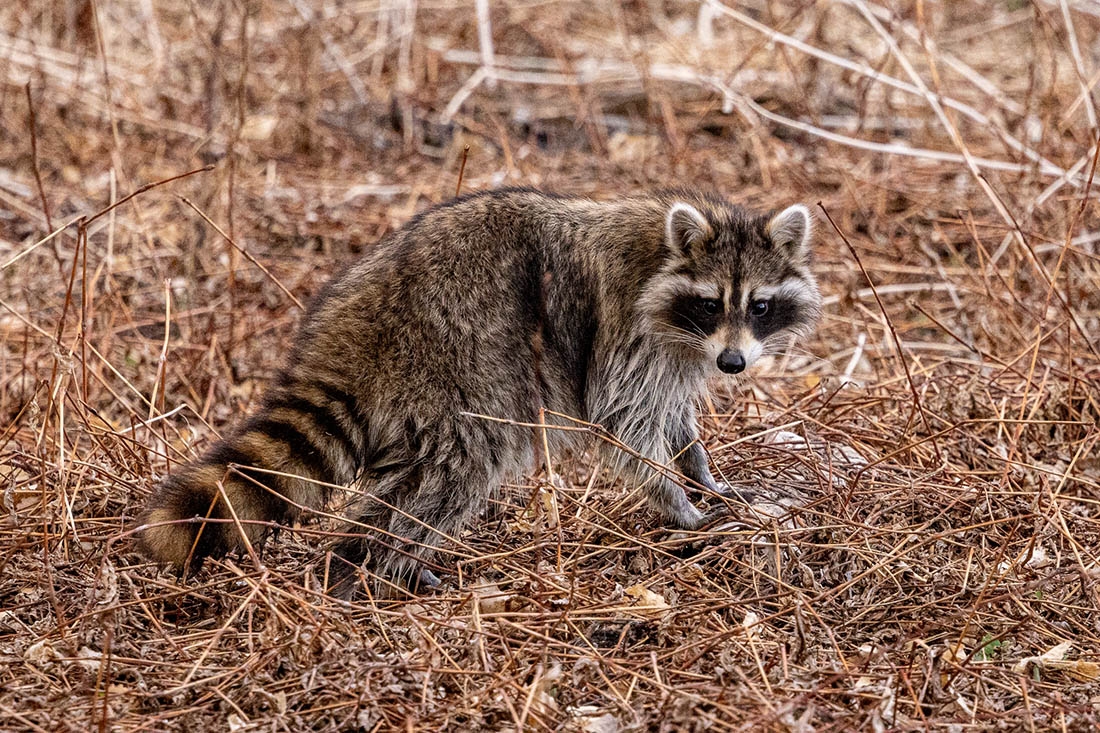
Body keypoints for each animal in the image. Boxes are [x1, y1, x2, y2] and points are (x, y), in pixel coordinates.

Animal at [137, 188, 820, 594]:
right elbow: (625, 425)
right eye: (709, 304)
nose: (733, 363)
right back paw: (370, 561)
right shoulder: (626, 335)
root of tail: (357, 321)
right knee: (454, 468)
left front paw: (703, 474)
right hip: (459, 366)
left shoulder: (678, 358)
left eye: (759, 306)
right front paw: (676, 501)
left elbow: (674, 420)